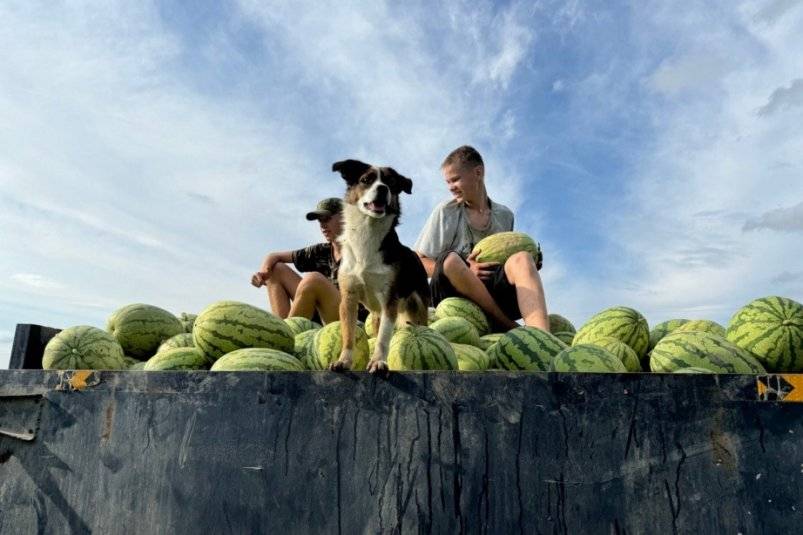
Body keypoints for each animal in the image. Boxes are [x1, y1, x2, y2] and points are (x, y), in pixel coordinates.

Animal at [328, 160, 430, 372]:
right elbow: (348, 334)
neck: (367, 233)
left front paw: (378, 362)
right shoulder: (348, 298)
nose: (383, 189)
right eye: (366, 180)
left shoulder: (389, 300)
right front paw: (344, 361)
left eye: (391, 183)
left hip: (419, 304)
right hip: (375, 313)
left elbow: (383, 338)